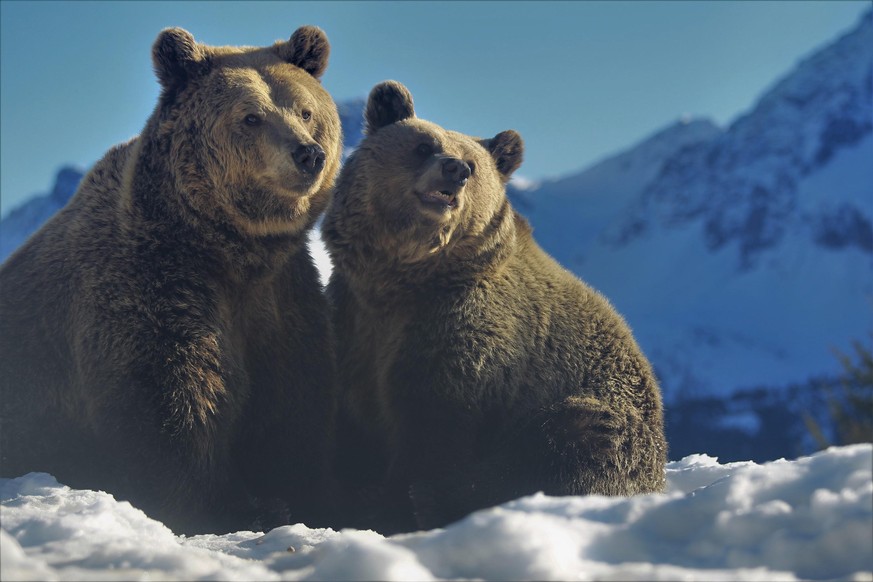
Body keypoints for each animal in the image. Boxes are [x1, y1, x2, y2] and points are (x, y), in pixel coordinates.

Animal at [0, 27, 340, 540]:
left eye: (305, 110)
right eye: (251, 116)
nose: (308, 154)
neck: (231, 252)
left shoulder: (283, 299)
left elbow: (294, 405)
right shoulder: (155, 287)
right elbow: (176, 405)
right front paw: (232, 509)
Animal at [322, 80, 668, 536]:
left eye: (472, 163)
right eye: (423, 145)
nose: (455, 170)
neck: (404, 278)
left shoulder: (467, 331)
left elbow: (435, 423)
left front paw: (396, 504)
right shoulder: (354, 320)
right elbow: (350, 422)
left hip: (606, 414)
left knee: (571, 440)